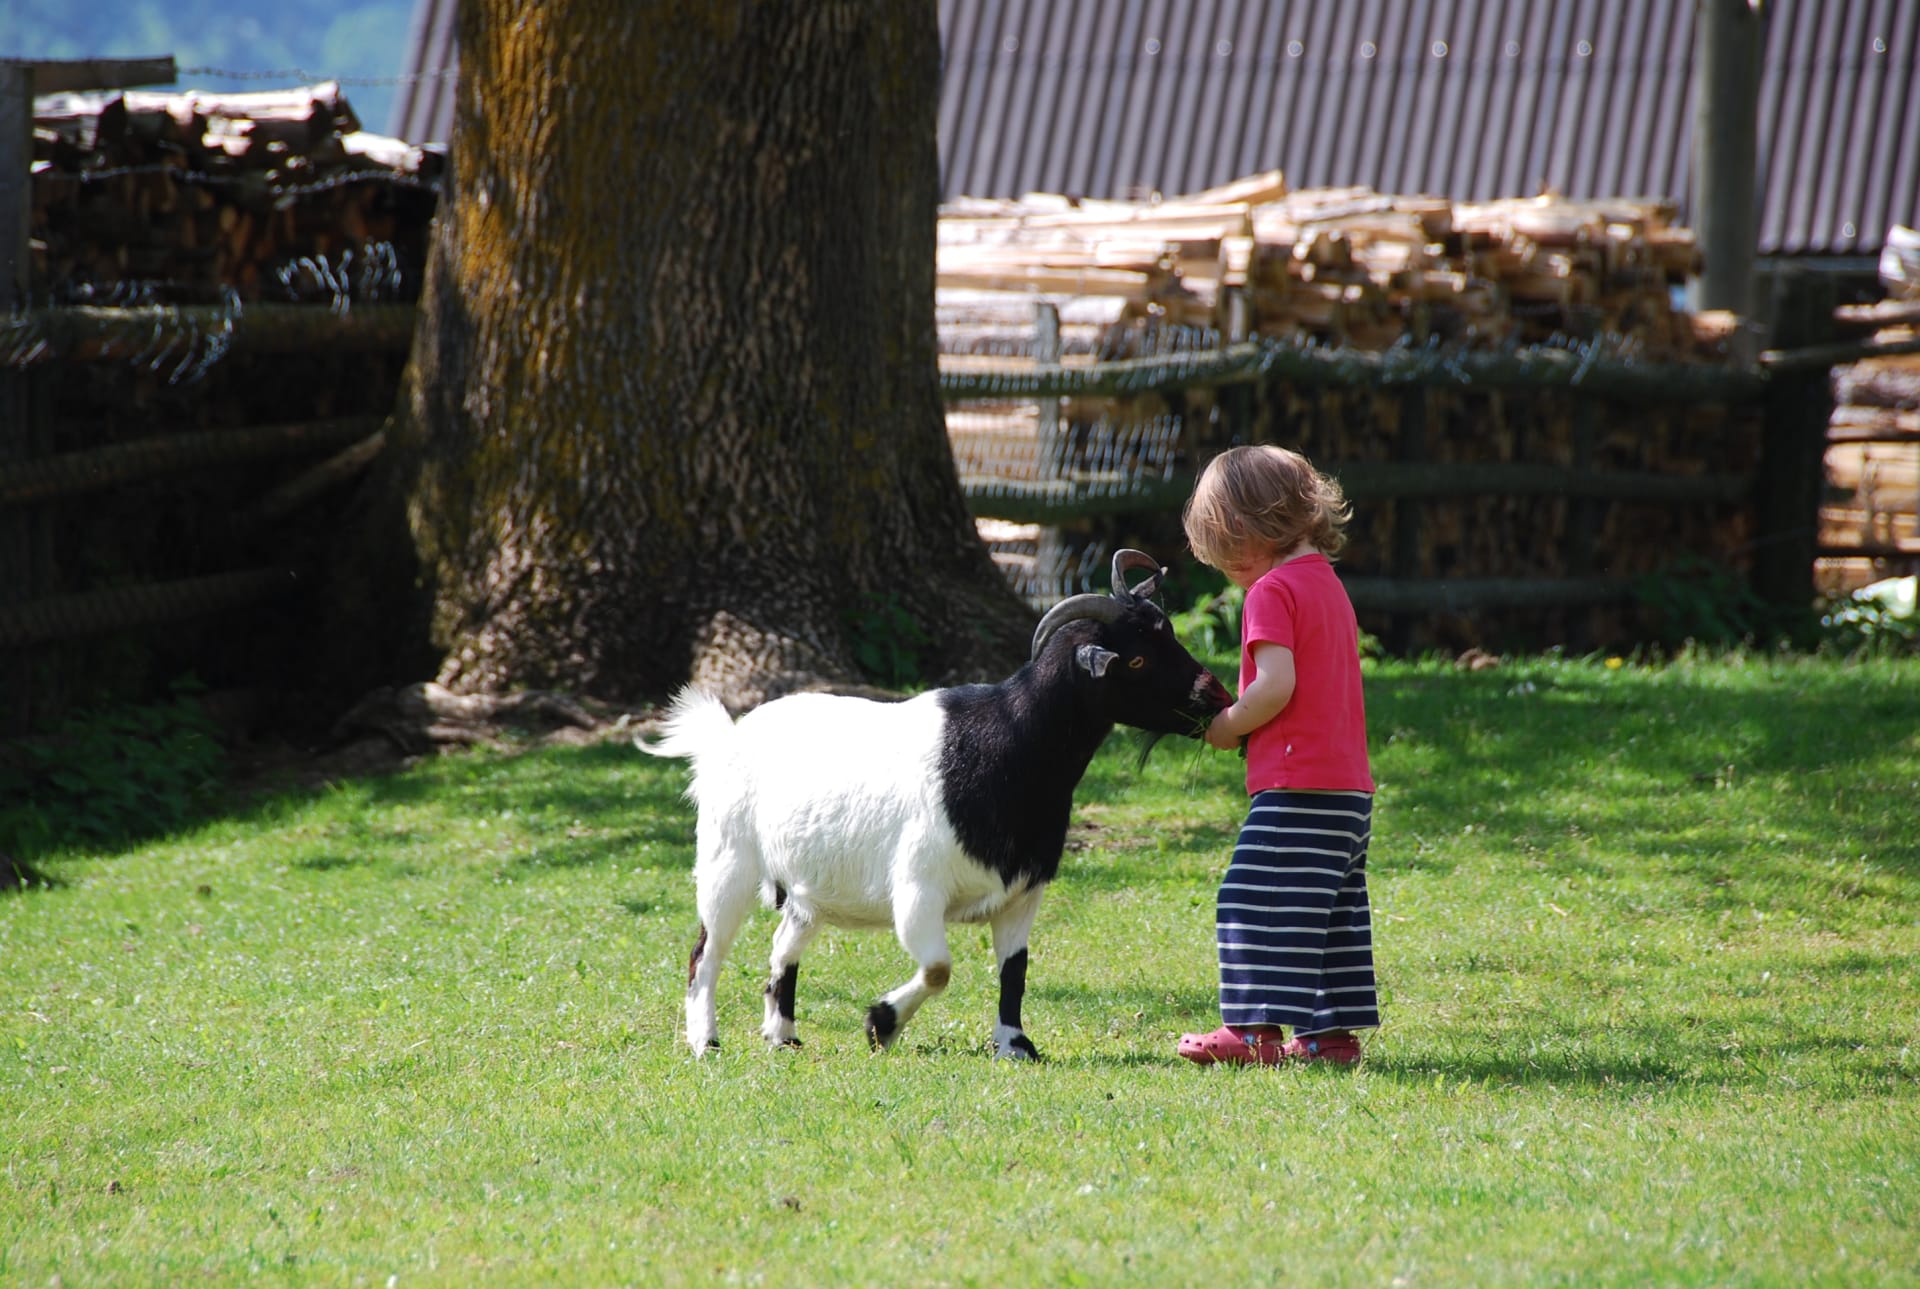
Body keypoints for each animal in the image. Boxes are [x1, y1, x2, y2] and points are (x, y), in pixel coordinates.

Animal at [638, 550, 1231, 1059]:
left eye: (1169, 635)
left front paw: (1015, 1045)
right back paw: (705, 1042)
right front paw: (881, 1024)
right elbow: (939, 969)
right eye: (1136, 658)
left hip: (807, 887)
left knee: (784, 945)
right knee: (705, 954)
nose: (1217, 697)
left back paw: (781, 1035)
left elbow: (1014, 972)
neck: (1012, 745)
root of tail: (728, 737)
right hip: (726, 861)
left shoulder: (1023, 892)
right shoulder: (918, 891)